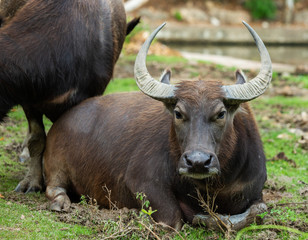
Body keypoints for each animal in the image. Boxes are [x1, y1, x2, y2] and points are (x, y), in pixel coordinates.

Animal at [44, 23, 272, 231]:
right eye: (178, 113)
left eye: (221, 113)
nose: (197, 162)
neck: (214, 187)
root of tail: (61, 121)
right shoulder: (141, 181)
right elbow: (173, 219)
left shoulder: (256, 191)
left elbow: (257, 211)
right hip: (56, 166)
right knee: (54, 187)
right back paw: (60, 203)